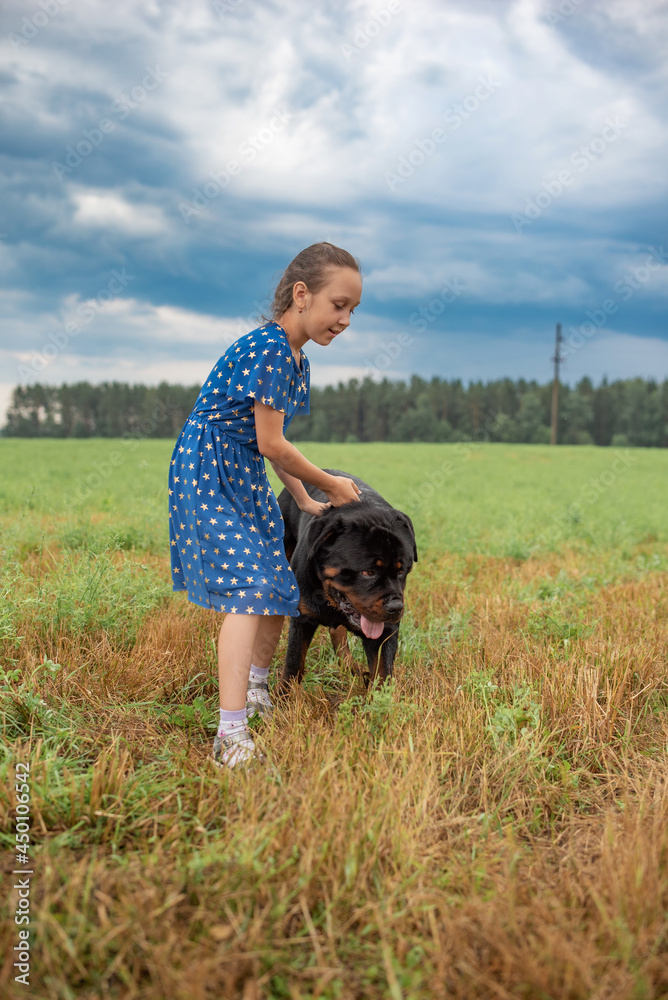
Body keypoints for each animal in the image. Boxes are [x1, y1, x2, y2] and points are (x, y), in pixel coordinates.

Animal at [278, 472, 418, 692]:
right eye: (368, 572)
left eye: (401, 570)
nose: (396, 607)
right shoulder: (302, 619)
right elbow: (294, 662)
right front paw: (285, 696)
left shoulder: (386, 630)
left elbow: (383, 673)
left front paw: (379, 699)